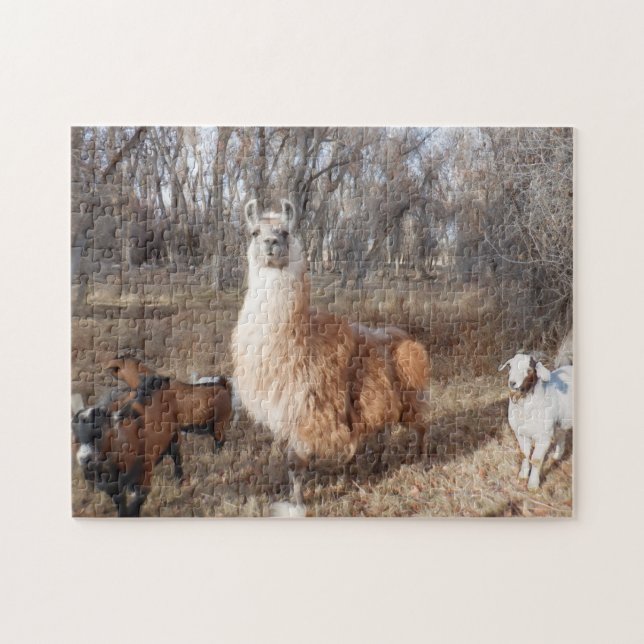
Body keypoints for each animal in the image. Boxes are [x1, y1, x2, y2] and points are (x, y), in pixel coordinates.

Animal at [233, 199, 431, 515]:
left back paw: (422, 461)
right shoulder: (292, 412)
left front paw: (298, 504)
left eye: (285, 232)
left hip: (411, 390)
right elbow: (294, 464)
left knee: (421, 425)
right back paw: (377, 465)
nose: (270, 243)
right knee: (384, 428)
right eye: (254, 232)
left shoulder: (307, 412)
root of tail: (401, 333)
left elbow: (296, 464)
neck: (298, 342)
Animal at [499, 353, 573, 490]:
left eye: (529, 370)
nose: (512, 383)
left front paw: (533, 485)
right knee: (561, 435)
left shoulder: (544, 437)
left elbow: (536, 460)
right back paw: (557, 456)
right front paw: (522, 475)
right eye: (510, 366)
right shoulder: (521, 434)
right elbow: (525, 454)